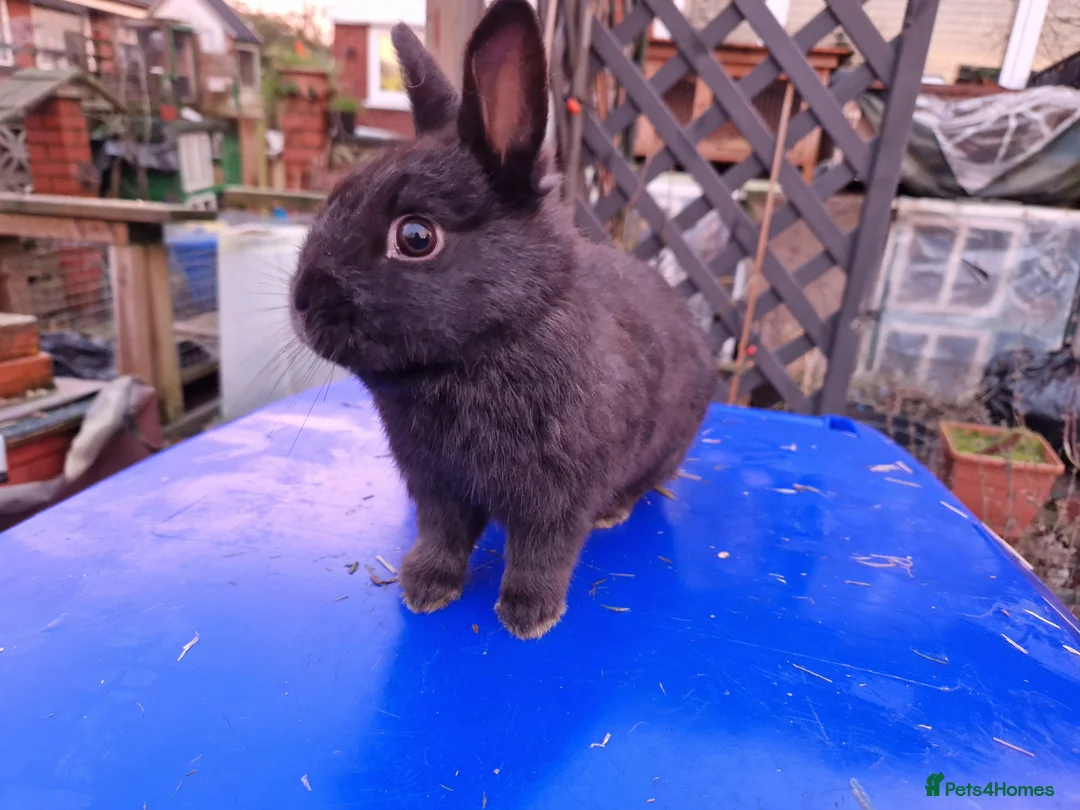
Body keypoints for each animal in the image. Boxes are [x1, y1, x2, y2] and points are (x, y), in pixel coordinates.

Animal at [290, 0, 716, 640]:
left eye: (416, 238)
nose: (301, 303)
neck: (485, 349)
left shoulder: (558, 497)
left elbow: (543, 552)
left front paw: (527, 615)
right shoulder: (436, 488)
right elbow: (442, 537)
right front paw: (426, 589)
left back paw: (613, 514)